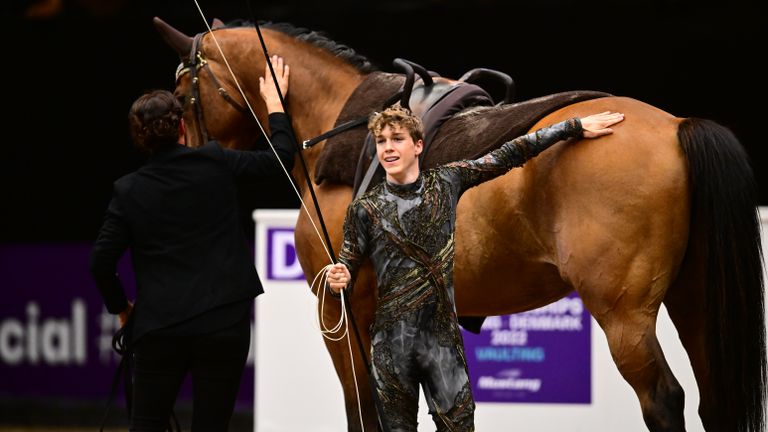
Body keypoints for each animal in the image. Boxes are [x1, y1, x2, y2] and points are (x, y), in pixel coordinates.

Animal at [153, 16, 764, 432]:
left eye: (183, 94)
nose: (188, 158)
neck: (340, 124)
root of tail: (678, 125)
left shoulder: (341, 313)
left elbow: (363, 411)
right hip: (696, 301)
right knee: (712, 399)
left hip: (625, 318)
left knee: (663, 400)